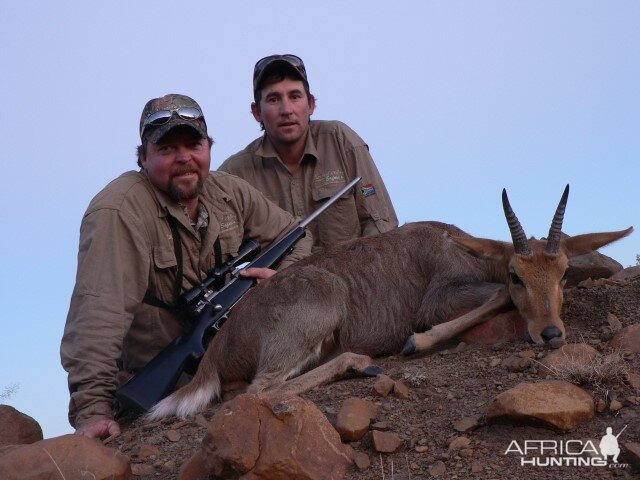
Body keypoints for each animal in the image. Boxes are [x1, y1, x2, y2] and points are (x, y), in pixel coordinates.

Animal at [149, 186, 632, 418]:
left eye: (562, 272)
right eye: (517, 274)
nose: (551, 333)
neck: (454, 244)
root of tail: (219, 342)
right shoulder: (438, 301)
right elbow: (494, 297)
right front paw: (417, 342)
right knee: (258, 391)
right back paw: (362, 362)